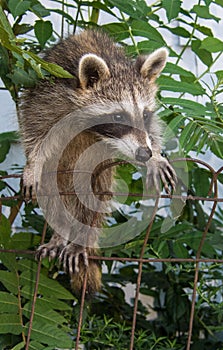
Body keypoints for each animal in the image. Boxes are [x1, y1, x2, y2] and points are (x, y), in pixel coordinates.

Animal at [18, 28, 176, 294]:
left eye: (144, 115)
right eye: (119, 116)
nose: (144, 154)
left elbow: (151, 129)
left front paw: (155, 153)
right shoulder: (49, 96)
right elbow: (34, 128)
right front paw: (32, 164)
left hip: (97, 170)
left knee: (93, 196)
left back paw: (79, 241)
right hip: (57, 168)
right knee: (52, 192)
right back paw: (60, 233)